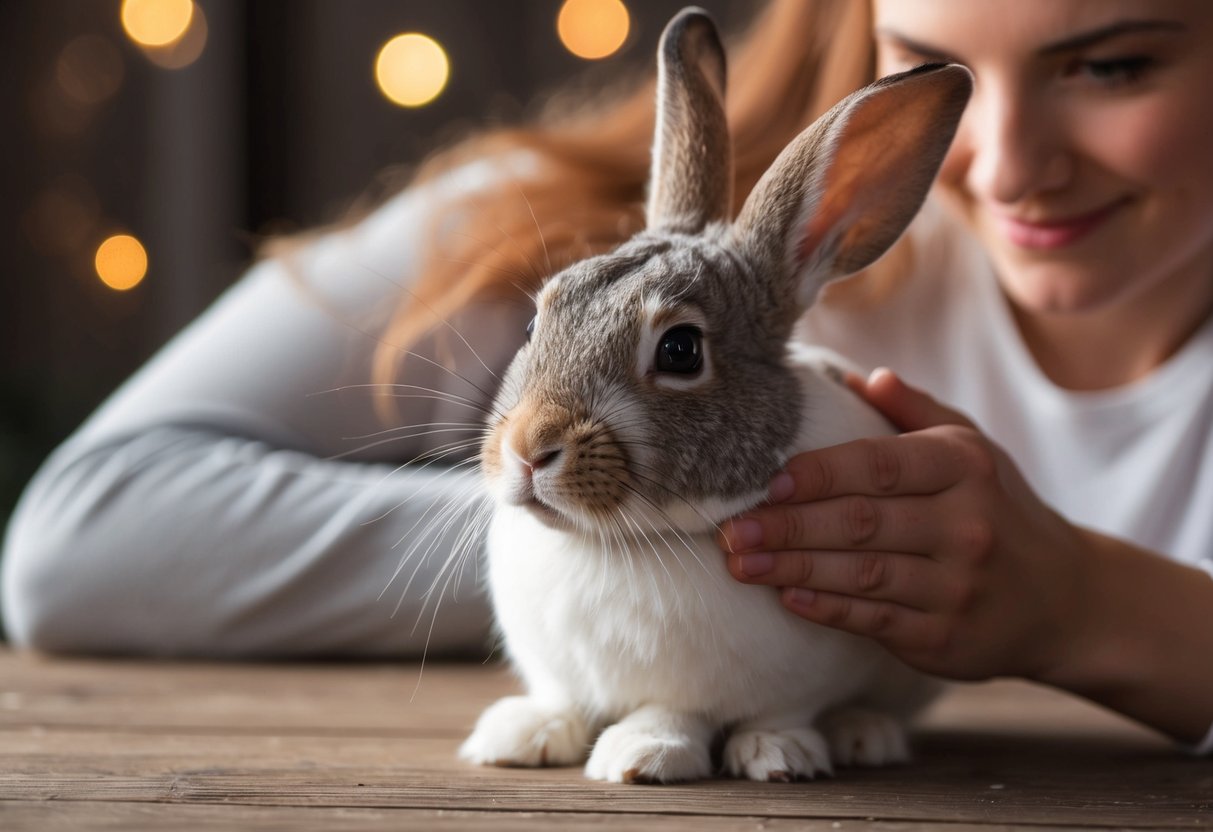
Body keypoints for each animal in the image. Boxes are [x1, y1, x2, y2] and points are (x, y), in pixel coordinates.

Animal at [458, 7, 972, 784]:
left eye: (680, 351)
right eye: (533, 322)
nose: (527, 447)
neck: (621, 541)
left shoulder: (793, 671)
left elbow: (697, 712)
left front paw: (660, 754)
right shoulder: (558, 668)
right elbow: (564, 698)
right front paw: (522, 735)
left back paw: (861, 735)